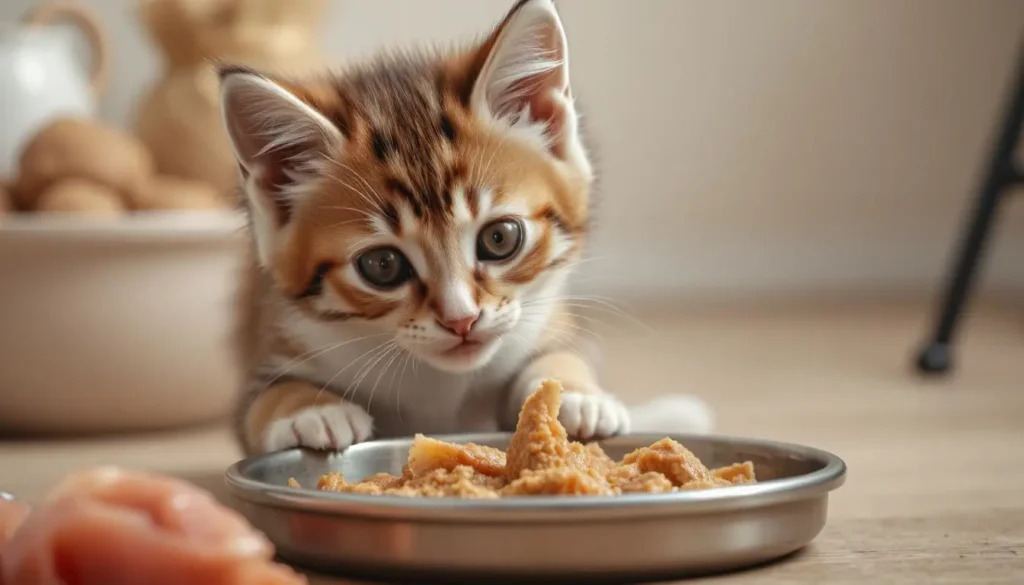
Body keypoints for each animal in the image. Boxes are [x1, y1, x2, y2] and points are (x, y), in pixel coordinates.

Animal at [220, 0, 712, 456]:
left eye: (500, 238)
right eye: (382, 265)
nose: (462, 320)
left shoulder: (547, 319)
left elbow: (560, 354)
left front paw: (575, 393)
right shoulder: (275, 333)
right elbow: (263, 397)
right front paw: (310, 409)